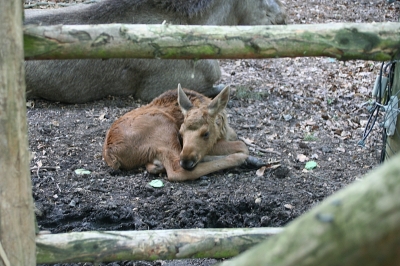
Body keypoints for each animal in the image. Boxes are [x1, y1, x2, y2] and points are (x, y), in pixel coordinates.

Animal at [104, 84, 252, 182]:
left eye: (206, 133)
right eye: (180, 134)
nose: (186, 161)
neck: (223, 127)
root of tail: (110, 153)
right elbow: (242, 145)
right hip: (165, 128)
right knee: (176, 171)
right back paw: (242, 159)